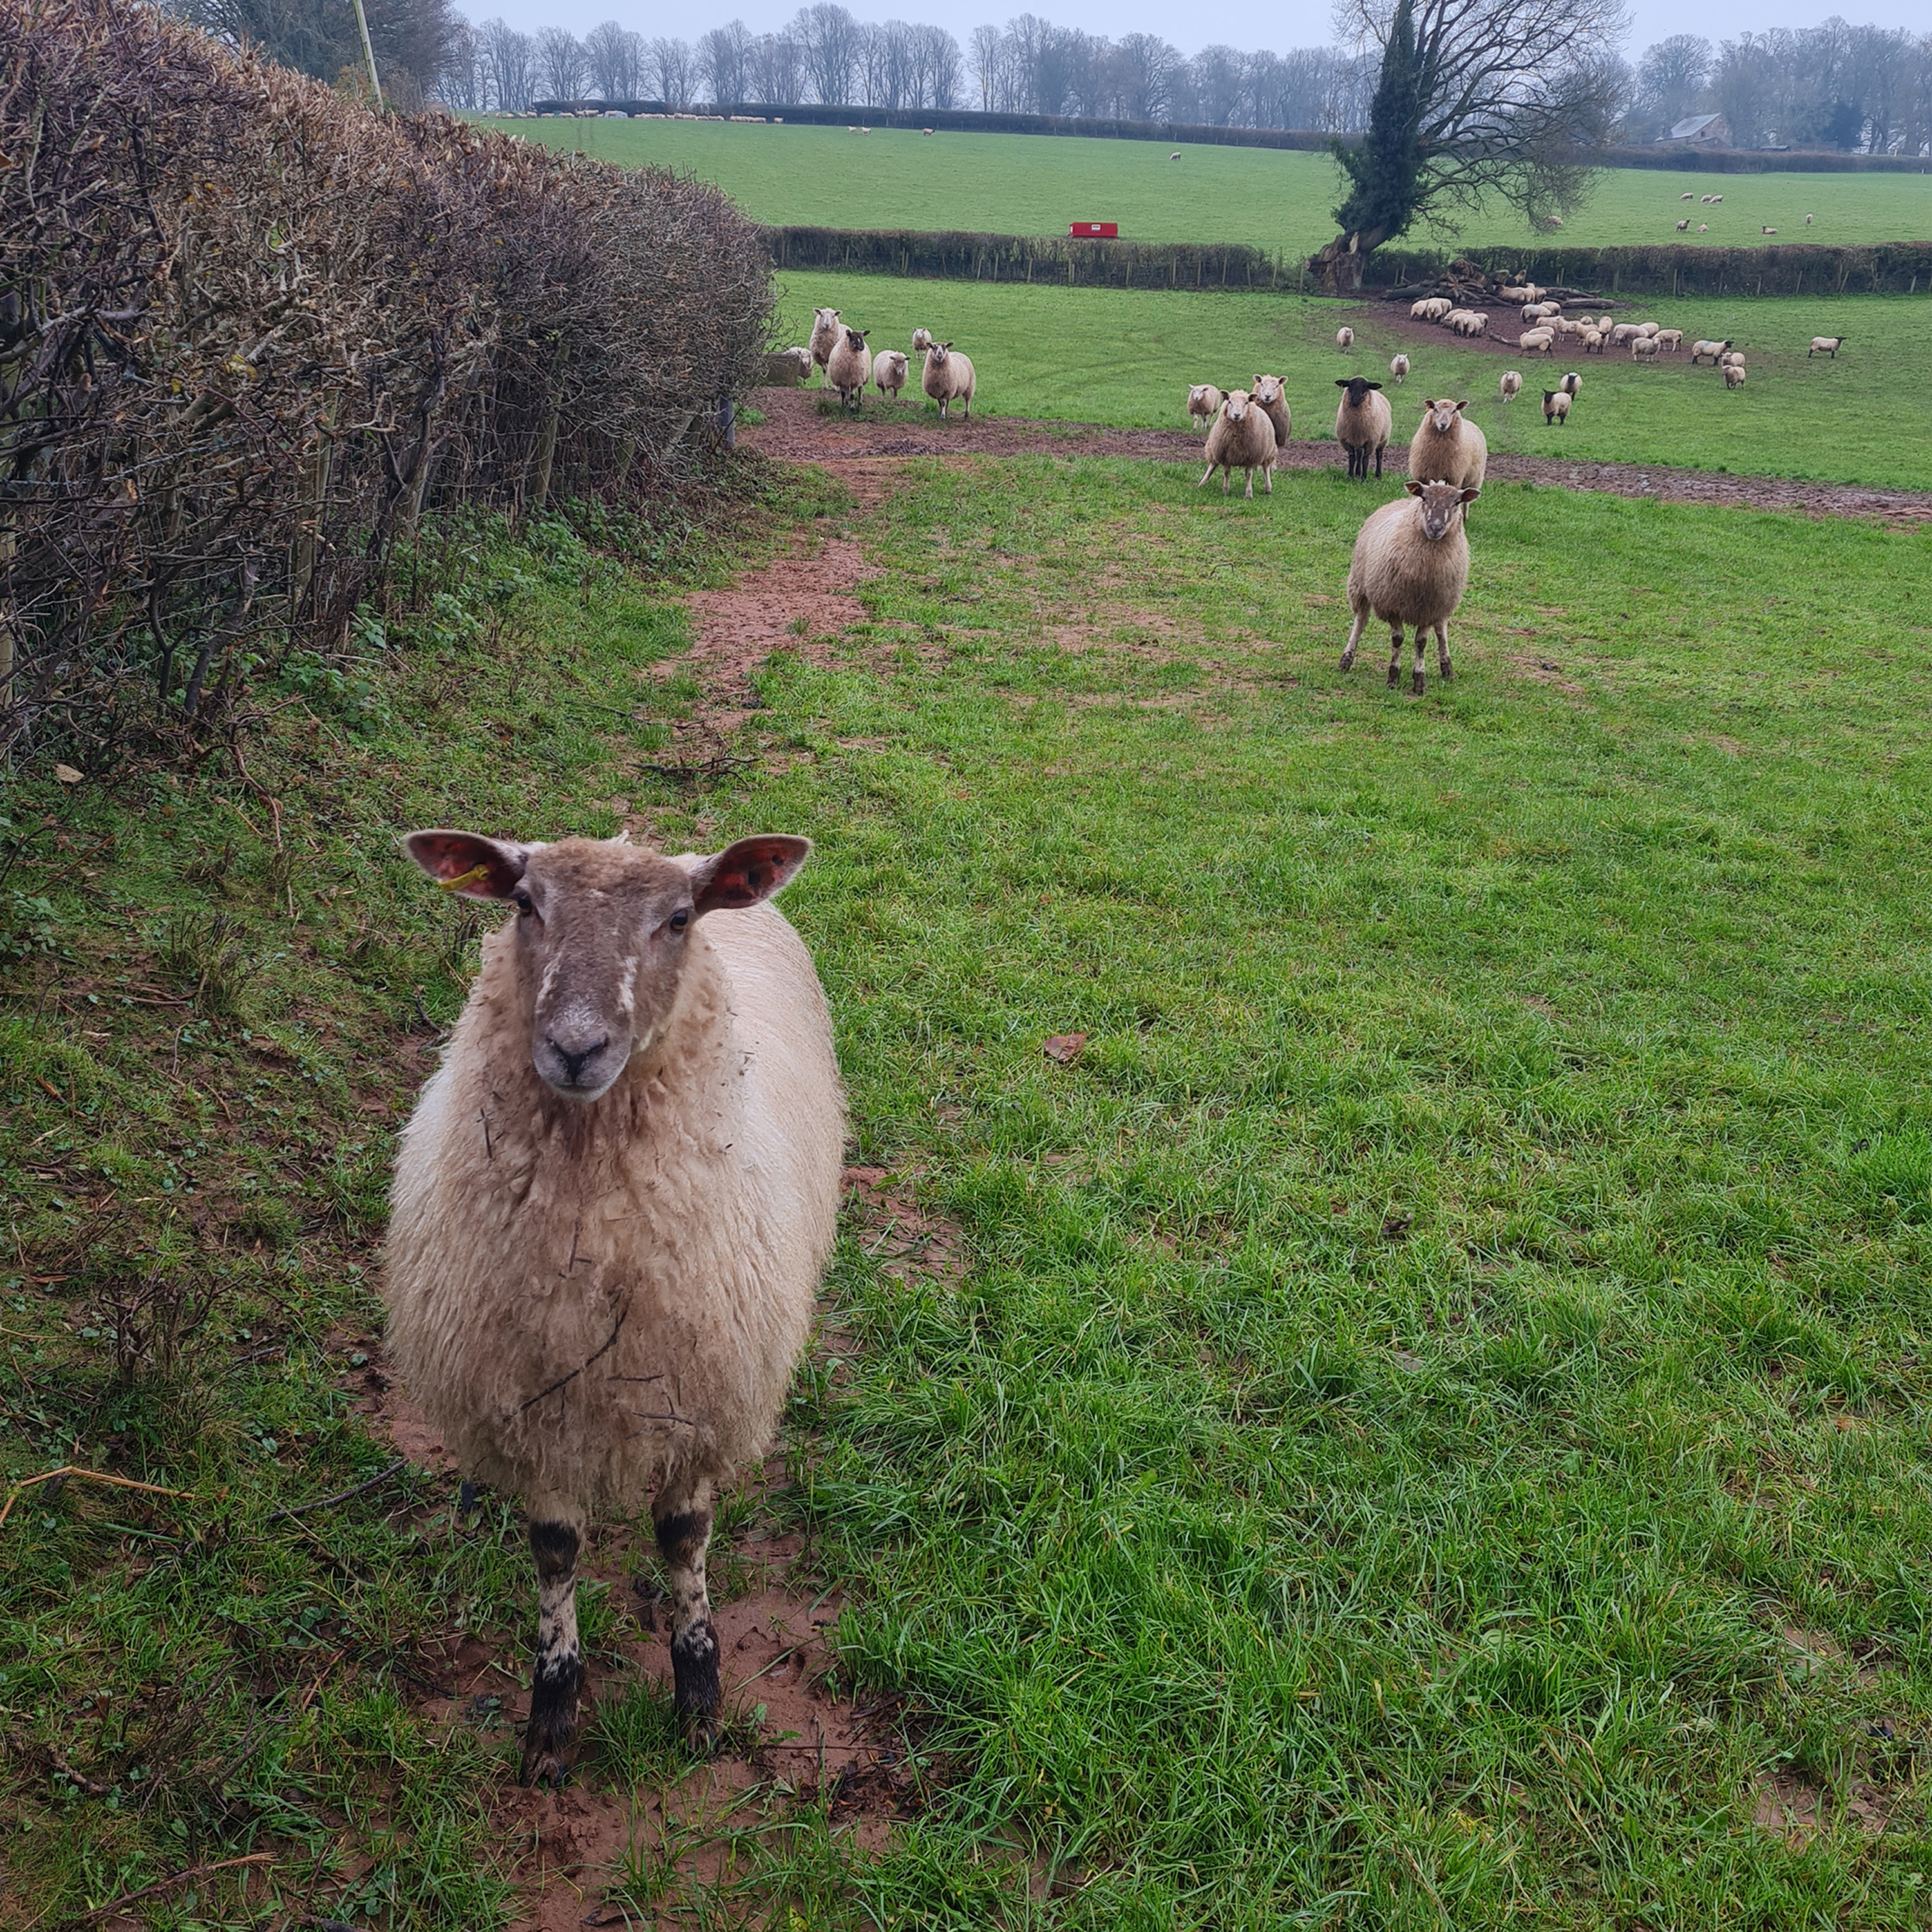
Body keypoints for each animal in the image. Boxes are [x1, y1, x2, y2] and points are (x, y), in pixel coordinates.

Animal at [387, 828, 844, 1784]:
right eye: (525, 904)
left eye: (676, 920)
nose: (575, 1048)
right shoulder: (538, 1400)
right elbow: (556, 1552)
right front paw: (551, 1718)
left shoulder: (698, 1393)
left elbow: (682, 1536)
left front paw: (699, 1701)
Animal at [824, 325, 871, 413]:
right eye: (853, 337)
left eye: (862, 337)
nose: (862, 347)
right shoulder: (841, 379)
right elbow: (843, 393)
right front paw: (843, 406)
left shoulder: (854, 380)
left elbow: (852, 395)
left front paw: (852, 409)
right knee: (846, 391)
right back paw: (846, 402)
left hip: (861, 376)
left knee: (860, 390)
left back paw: (860, 403)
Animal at [1200, 389, 1278, 498]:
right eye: (1230, 402)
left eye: (1246, 403)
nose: (1237, 415)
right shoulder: (1226, 455)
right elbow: (1226, 473)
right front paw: (1225, 491)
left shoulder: (1252, 457)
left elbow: (1249, 475)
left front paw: (1248, 494)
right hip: (1215, 449)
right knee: (1213, 465)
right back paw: (1202, 483)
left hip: (1268, 452)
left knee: (1266, 469)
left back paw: (1268, 489)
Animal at [1334, 375, 1392, 480]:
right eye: (1350, 385)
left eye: (1365, 386)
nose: (1356, 400)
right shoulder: (1348, 441)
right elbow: (1352, 458)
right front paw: (1351, 476)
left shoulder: (1371, 441)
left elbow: (1366, 460)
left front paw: (1363, 478)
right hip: (1359, 441)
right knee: (1359, 456)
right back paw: (1357, 473)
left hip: (1383, 439)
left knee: (1379, 455)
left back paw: (1378, 475)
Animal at [1340, 479, 1480, 695]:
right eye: (1424, 498)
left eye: (1457, 502)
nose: (1435, 527)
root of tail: (1401, 501)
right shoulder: (1392, 605)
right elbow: (1398, 639)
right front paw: (1393, 678)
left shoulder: (1430, 608)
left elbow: (1421, 643)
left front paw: (1420, 681)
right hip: (1360, 585)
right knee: (1361, 622)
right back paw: (1346, 659)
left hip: (1445, 601)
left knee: (1441, 630)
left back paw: (1447, 667)